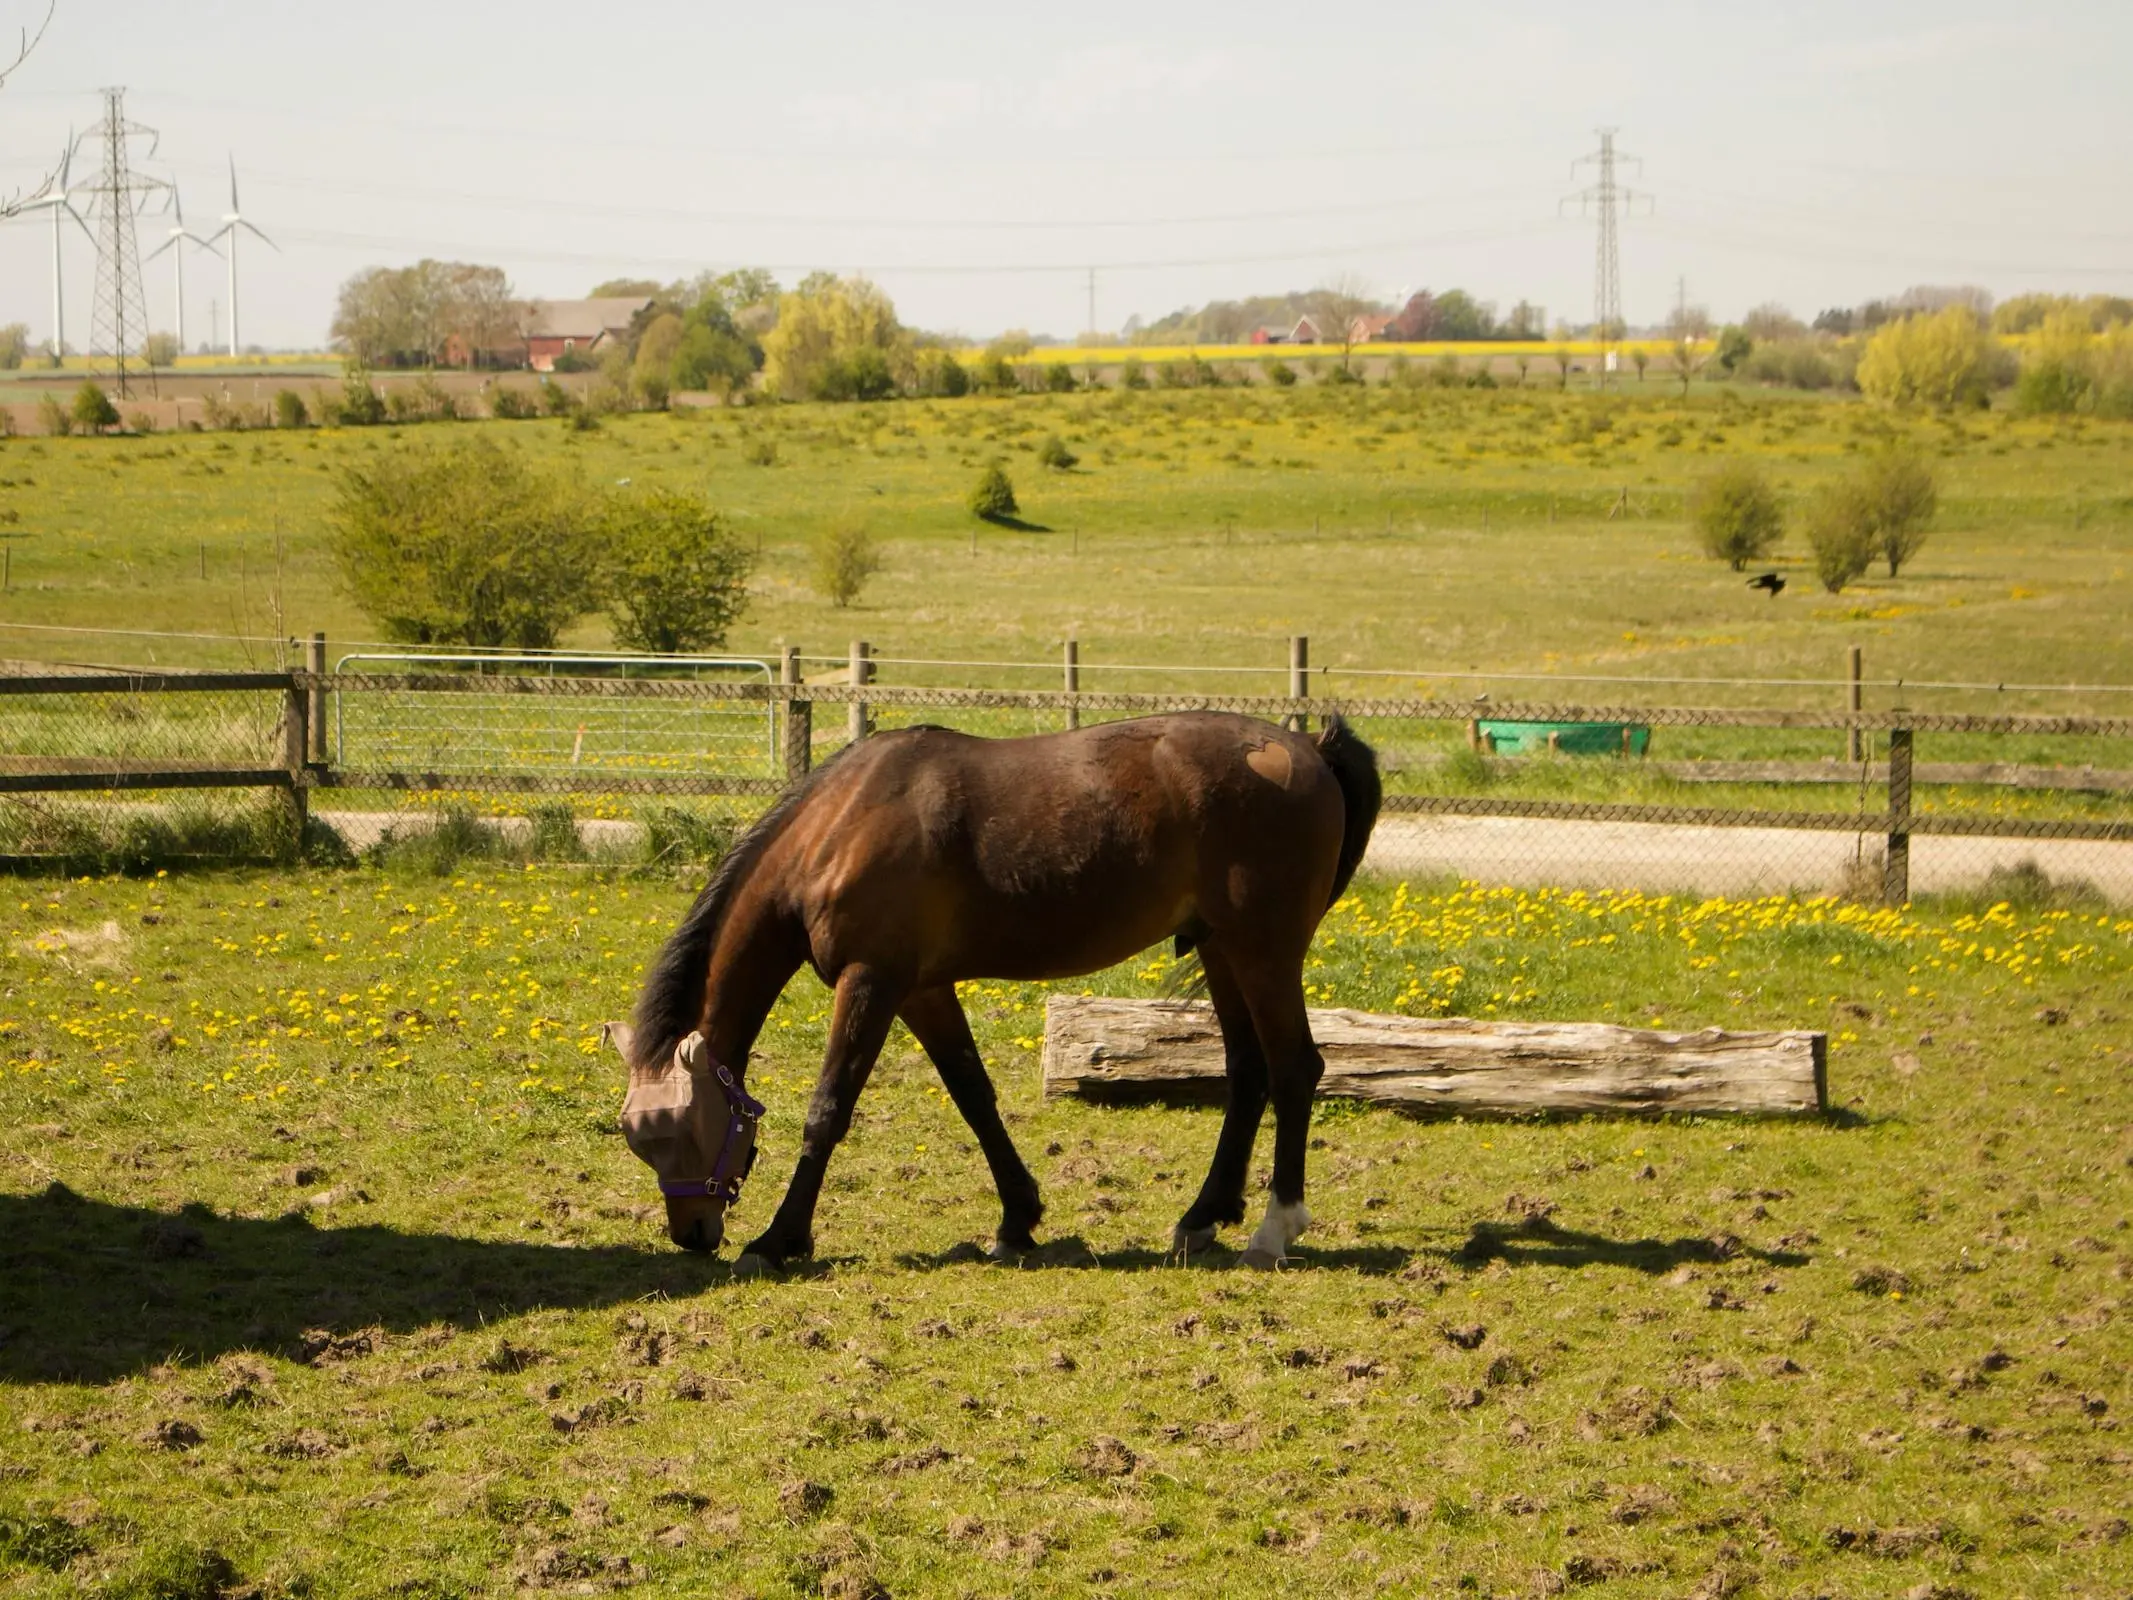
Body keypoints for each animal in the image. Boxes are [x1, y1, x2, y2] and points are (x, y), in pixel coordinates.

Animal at [618, 712, 1382, 1280]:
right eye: (636, 1138)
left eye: (681, 1129)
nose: (692, 1233)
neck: (840, 825)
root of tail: (1309, 748)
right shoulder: (922, 989)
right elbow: (974, 1097)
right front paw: (1018, 1221)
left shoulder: (872, 981)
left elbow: (827, 1112)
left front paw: (778, 1240)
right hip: (1222, 950)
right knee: (1247, 1073)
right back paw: (1201, 1219)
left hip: (1263, 952)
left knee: (1294, 1068)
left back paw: (1273, 1228)